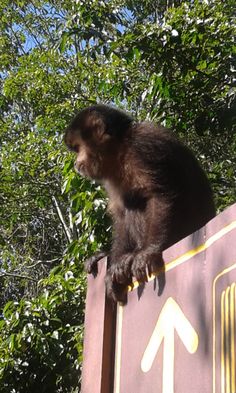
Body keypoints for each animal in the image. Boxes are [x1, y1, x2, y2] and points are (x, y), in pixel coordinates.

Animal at [64, 102, 216, 302]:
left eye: (78, 148)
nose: (75, 164)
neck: (122, 150)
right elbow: (120, 214)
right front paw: (115, 265)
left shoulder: (143, 147)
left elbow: (159, 194)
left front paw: (148, 251)